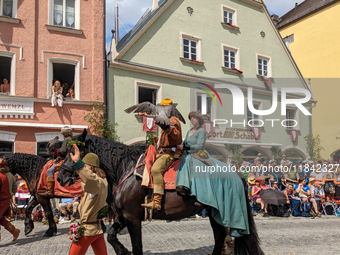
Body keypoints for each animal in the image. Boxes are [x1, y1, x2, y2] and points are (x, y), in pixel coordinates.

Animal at [58, 129, 264, 255]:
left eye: (73, 152)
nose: (60, 177)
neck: (125, 168)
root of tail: (236, 173)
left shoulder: (132, 217)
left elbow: (137, 246)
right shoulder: (123, 216)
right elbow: (110, 236)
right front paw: (122, 250)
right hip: (215, 213)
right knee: (220, 237)